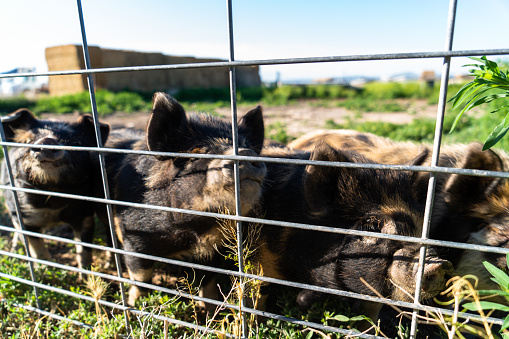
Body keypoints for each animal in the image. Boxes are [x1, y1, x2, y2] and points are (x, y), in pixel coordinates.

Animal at [0, 108, 109, 268]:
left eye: (75, 142)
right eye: (28, 140)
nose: (47, 140)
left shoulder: (85, 213)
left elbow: (84, 249)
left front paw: (85, 272)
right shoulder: (23, 215)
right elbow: (37, 250)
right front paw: (45, 269)